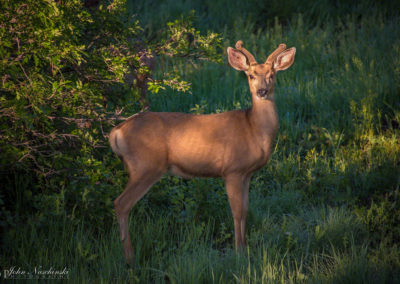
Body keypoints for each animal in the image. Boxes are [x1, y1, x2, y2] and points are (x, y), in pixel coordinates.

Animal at [108, 40, 296, 264]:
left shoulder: (247, 174)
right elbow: (237, 211)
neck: (254, 130)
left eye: (272, 75)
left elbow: (246, 209)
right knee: (121, 203)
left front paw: (244, 248)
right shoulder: (232, 170)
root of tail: (116, 132)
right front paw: (239, 251)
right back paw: (130, 258)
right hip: (146, 167)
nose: (262, 92)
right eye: (251, 75)